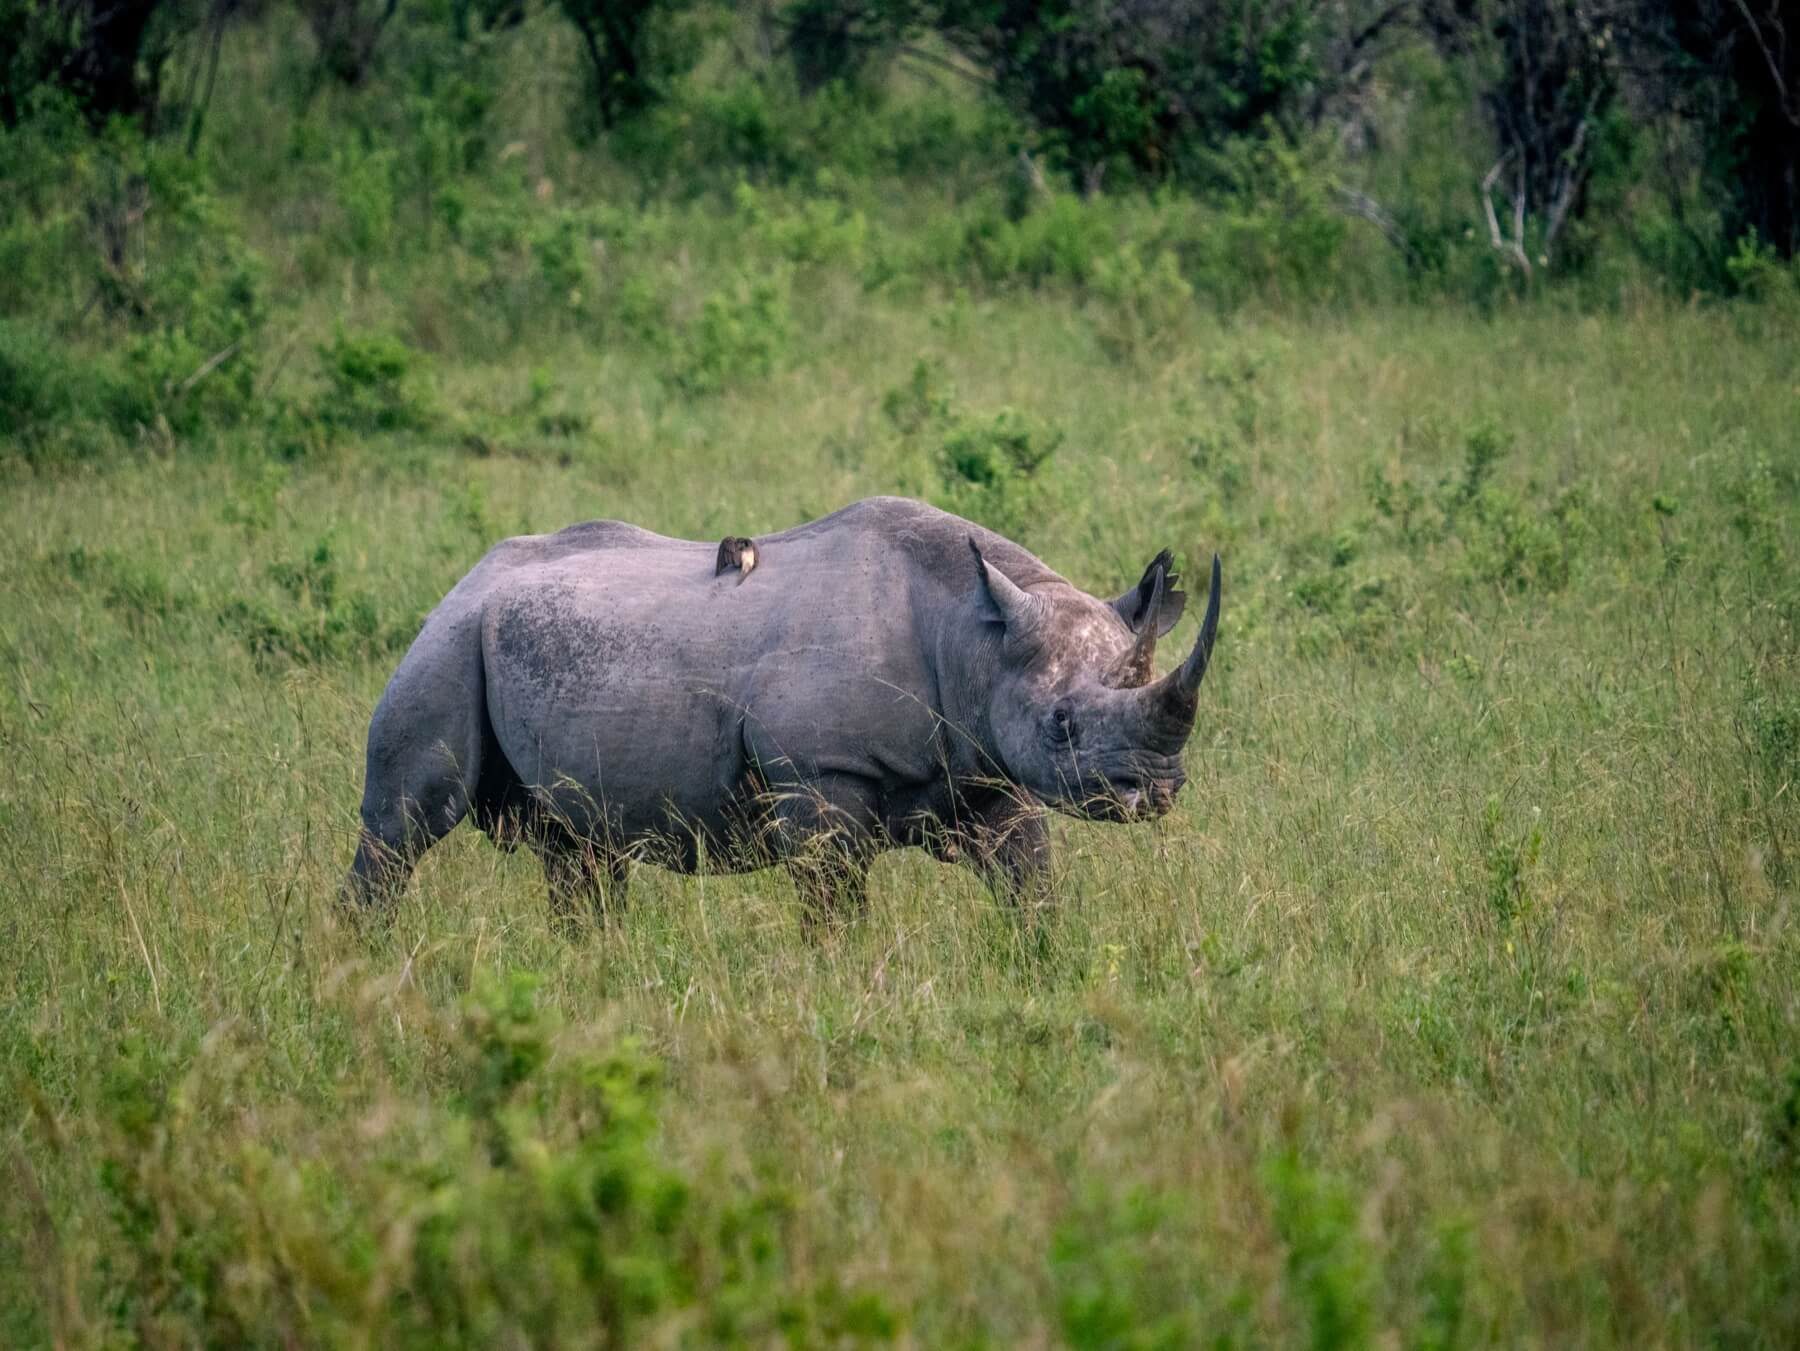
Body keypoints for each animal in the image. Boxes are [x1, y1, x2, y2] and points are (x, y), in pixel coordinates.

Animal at [345, 496, 1220, 928]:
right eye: (1060, 724)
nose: (1156, 790)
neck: (976, 635)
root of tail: (469, 573)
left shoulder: (983, 768)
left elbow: (1029, 880)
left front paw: (1044, 962)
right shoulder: (820, 770)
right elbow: (834, 899)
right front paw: (845, 981)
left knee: (577, 848)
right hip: (448, 640)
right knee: (406, 823)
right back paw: (369, 955)